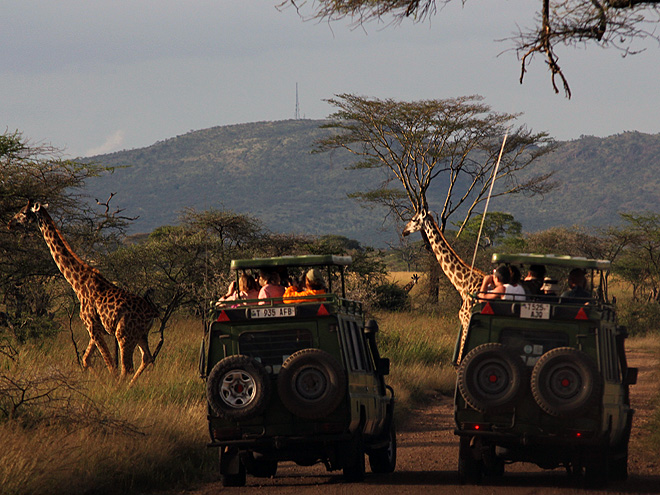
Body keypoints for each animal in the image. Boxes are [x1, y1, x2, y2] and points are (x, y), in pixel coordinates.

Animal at [8, 202, 159, 388]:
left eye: (23, 212)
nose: (10, 223)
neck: (78, 284)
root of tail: (152, 312)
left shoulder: (92, 326)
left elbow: (110, 365)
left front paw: (110, 389)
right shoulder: (95, 328)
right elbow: (87, 360)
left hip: (124, 333)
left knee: (127, 366)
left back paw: (122, 389)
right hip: (141, 334)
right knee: (147, 358)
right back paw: (130, 387)